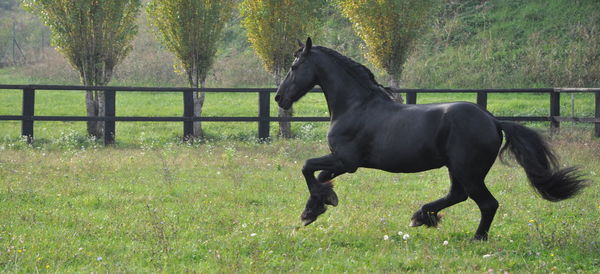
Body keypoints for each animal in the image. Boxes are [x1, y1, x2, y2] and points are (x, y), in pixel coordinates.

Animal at [276, 38, 584, 240]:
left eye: (294, 66)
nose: (279, 98)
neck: (356, 106)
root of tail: (494, 121)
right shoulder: (342, 162)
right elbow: (320, 177)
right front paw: (316, 208)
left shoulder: (346, 161)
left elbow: (307, 167)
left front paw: (317, 206)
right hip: (457, 169)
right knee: (458, 195)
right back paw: (422, 216)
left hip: (468, 171)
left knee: (487, 203)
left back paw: (474, 237)